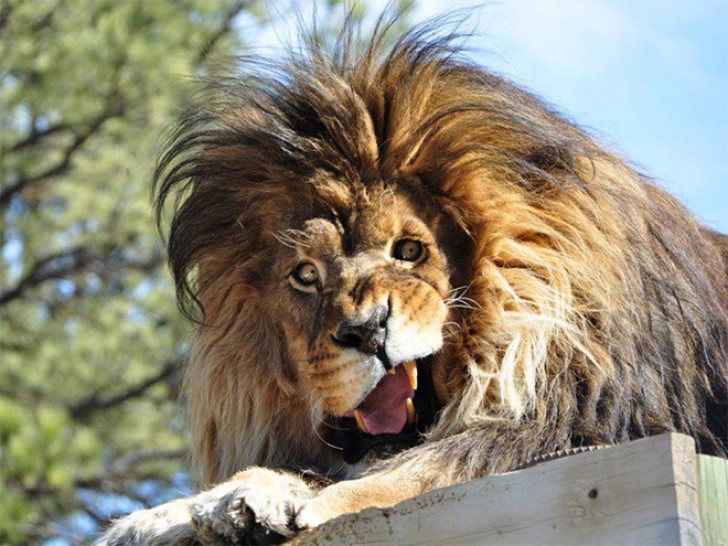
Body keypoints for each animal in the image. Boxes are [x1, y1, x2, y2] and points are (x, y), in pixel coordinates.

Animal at [98, 12, 728, 544]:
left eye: (408, 250)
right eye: (305, 275)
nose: (368, 331)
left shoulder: (588, 427)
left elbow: (425, 469)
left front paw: (294, 503)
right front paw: (171, 516)